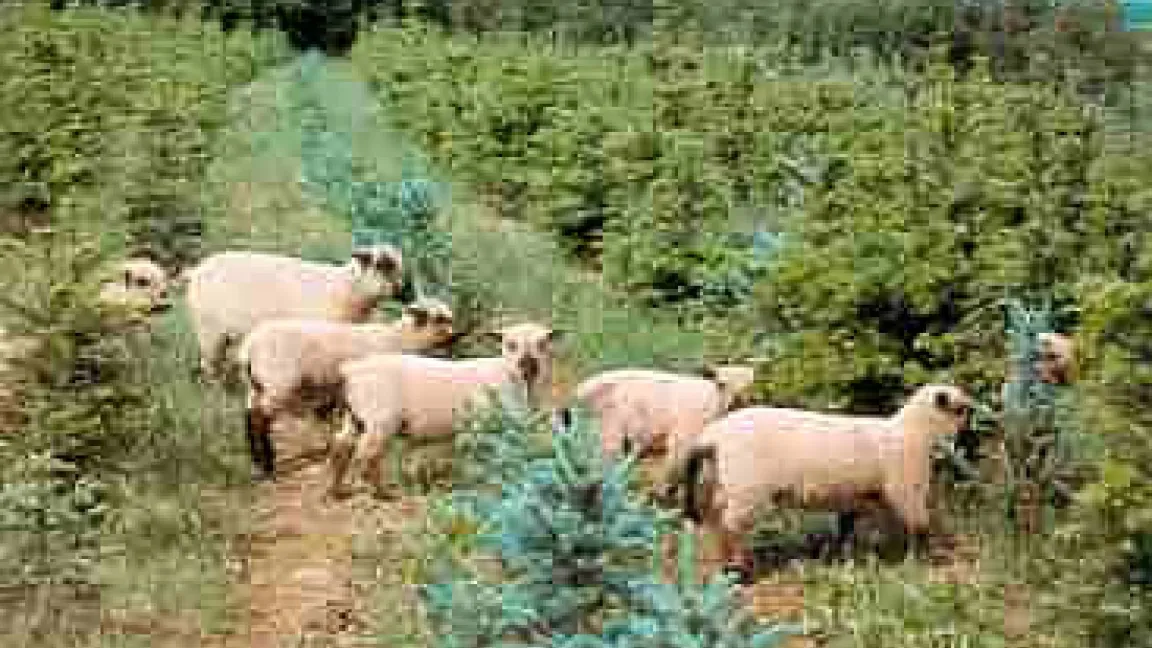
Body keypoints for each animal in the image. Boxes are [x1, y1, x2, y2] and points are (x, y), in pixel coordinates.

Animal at [184, 244, 403, 379]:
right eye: (381, 265)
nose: (402, 289)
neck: (346, 288)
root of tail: (197, 269)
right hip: (208, 329)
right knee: (209, 364)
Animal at [239, 297, 455, 481]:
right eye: (440, 318)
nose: (456, 337)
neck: (399, 338)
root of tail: (250, 346)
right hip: (278, 382)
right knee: (259, 419)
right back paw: (267, 467)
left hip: (256, 385)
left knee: (249, 415)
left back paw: (258, 462)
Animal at [326, 322, 557, 498]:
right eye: (510, 344)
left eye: (542, 343)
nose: (528, 366)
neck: (504, 373)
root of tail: (351, 370)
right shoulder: (482, 424)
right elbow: (489, 457)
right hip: (380, 419)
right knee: (367, 455)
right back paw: (380, 493)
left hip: (355, 415)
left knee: (341, 445)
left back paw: (337, 490)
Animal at [556, 364, 756, 460]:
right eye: (721, 383)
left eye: (751, 385)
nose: (737, 402)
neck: (713, 399)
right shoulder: (682, 438)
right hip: (605, 433)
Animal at [659, 384, 972, 584]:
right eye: (961, 409)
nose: (969, 431)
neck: (914, 432)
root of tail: (712, 435)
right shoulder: (906, 486)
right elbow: (920, 525)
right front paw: (927, 559)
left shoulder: (854, 495)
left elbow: (846, 528)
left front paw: (842, 558)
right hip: (748, 488)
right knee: (731, 528)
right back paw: (738, 574)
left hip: (725, 483)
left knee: (717, 521)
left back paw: (726, 568)